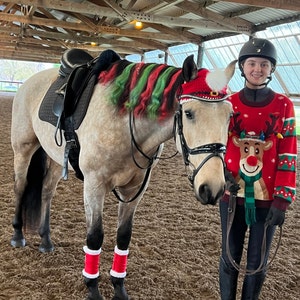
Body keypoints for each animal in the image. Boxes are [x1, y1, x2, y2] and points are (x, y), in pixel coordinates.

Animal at [10, 51, 237, 298]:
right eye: (189, 113)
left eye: (229, 116)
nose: (212, 188)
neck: (125, 121)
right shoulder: (94, 185)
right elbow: (95, 237)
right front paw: (93, 289)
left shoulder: (134, 190)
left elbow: (124, 236)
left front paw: (119, 288)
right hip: (23, 150)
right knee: (20, 187)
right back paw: (18, 236)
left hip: (53, 158)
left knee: (46, 192)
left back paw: (46, 240)